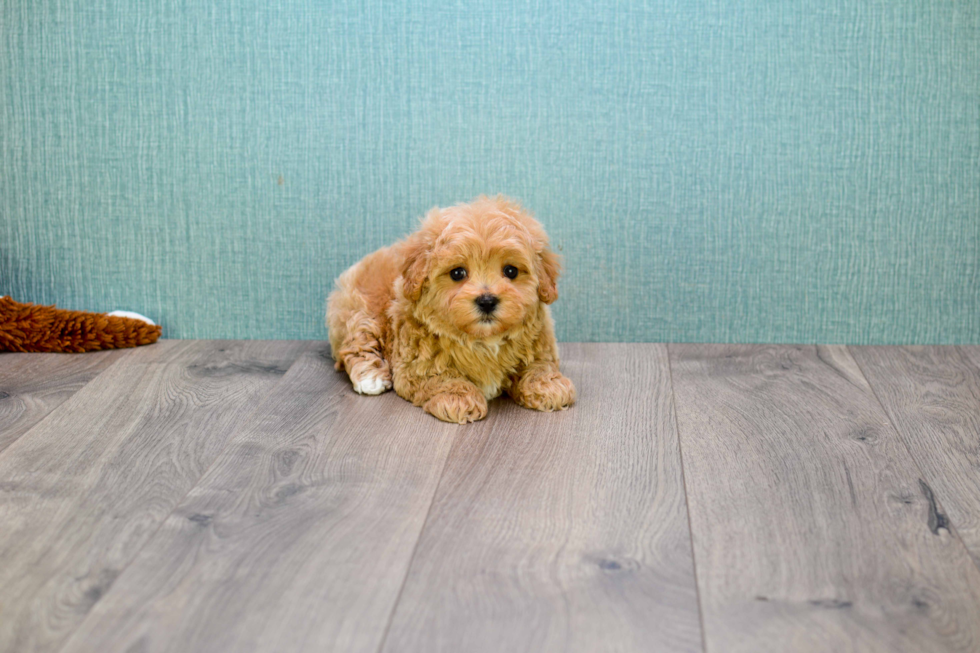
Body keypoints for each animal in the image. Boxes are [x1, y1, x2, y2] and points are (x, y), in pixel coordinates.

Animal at [328, 195, 576, 422]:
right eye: (457, 273)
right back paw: (371, 377)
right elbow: (441, 377)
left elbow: (540, 364)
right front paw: (459, 397)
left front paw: (548, 384)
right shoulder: (414, 366)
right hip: (361, 311)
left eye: (511, 271)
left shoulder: (539, 343)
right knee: (355, 344)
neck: (483, 340)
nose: (487, 301)